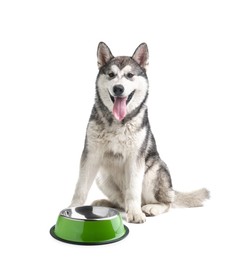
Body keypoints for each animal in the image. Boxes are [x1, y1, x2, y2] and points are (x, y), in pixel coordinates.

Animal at [69, 42, 208, 223]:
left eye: (130, 75)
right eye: (111, 74)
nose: (118, 88)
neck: (118, 122)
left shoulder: (135, 159)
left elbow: (133, 190)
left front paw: (135, 213)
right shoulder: (91, 155)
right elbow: (80, 187)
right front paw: (72, 208)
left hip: (153, 173)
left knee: (166, 203)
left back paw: (151, 208)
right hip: (102, 177)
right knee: (121, 201)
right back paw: (107, 203)